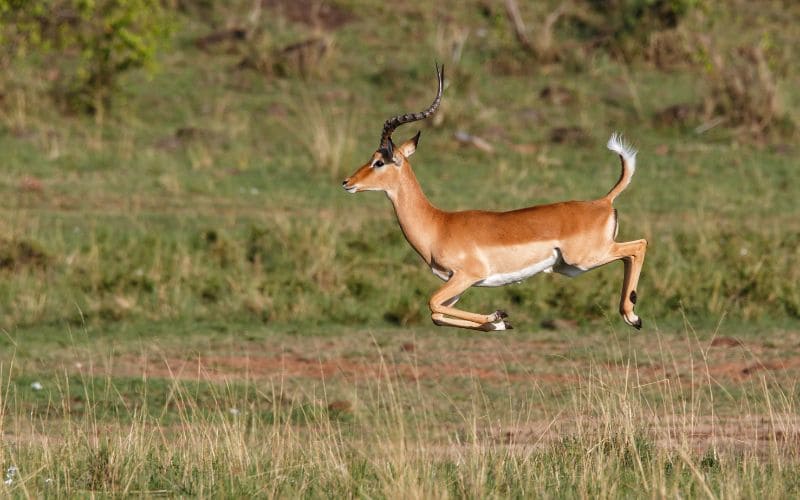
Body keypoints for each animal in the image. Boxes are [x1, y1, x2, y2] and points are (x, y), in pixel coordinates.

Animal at [342, 65, 647, 331]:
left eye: (379, 161)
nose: (347, 183)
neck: (438, 225)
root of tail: (603, 202)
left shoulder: (467, 276)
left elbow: (431, 303)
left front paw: (498, 317)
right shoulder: (455, 285)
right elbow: (437, 314)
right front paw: (498, 322)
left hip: (585, 258)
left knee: (639, 245)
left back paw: (633, 316)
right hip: (576, 264)